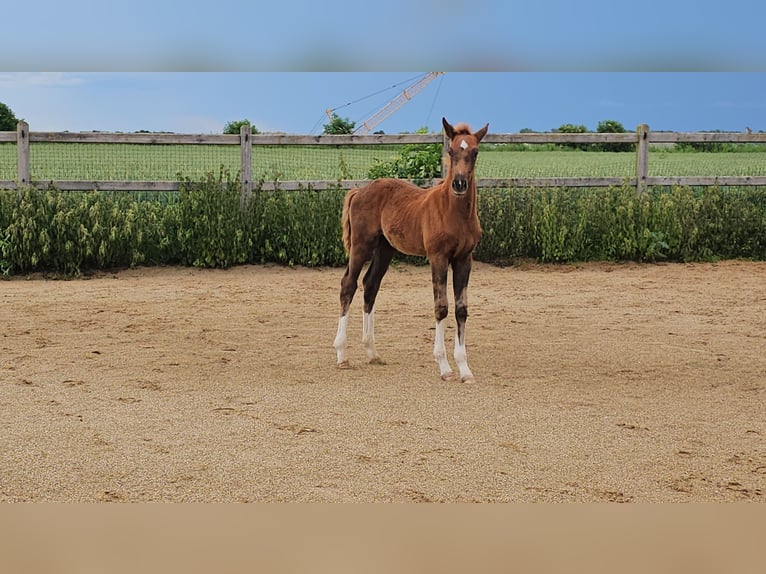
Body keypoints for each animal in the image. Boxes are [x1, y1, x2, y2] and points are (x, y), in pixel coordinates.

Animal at [332, 117, 488, 382]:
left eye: (475, 152)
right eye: (451, 151)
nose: (459, 184)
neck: (454, 212)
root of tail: (359, 191)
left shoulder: (464, 259)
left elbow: (461, 309)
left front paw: (465, 369)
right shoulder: (437, 257)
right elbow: (441, 307)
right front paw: (444, 367)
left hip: (385, 249)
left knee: (370, 285)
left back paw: (372, 352)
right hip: (362, 245)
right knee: (348, 285)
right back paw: (342, 355)